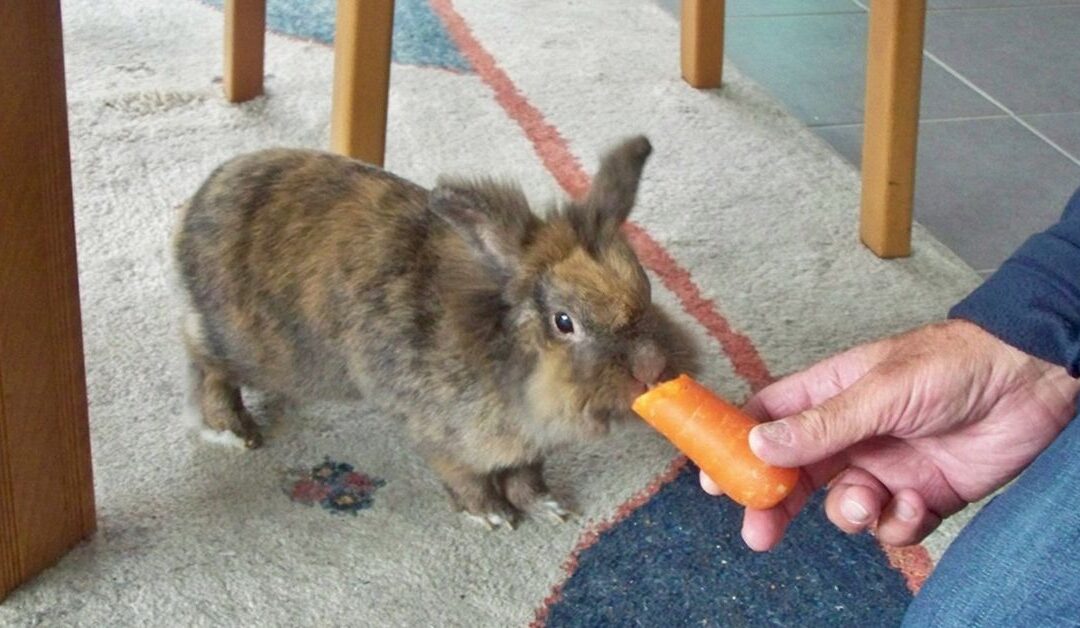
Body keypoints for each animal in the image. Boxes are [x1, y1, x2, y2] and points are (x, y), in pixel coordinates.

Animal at [172, 135, 698, 528]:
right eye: (563, 321)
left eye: (646, 287)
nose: (651, 366)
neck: (506, 353)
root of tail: (204, 196)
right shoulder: (446, 439)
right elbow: (468, 479)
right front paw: (491, 516)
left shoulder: (528, 448)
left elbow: (527, 478)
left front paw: (548, 508)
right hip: (259, 349)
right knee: (200, 353)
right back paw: (230, 429)